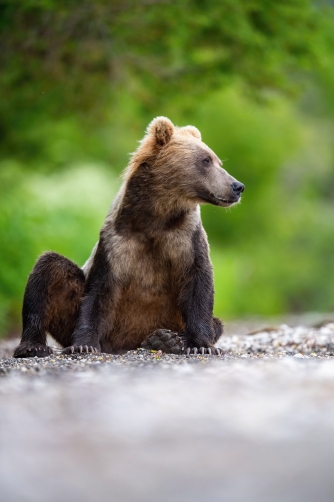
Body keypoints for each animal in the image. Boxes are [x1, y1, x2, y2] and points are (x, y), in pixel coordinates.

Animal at [13, 116, 244, 356]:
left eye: (218, 161)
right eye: (206, 160)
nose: (237, 186)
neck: (156, 217)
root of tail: (127, 343)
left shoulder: (187, 238)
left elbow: (199, 284)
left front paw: (202, 346)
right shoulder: (117, 240)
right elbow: (98, 293)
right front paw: (83, 345)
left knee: (215, 323)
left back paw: (166, 339)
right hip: (71, 312)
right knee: (47, 269)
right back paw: (32, 346)